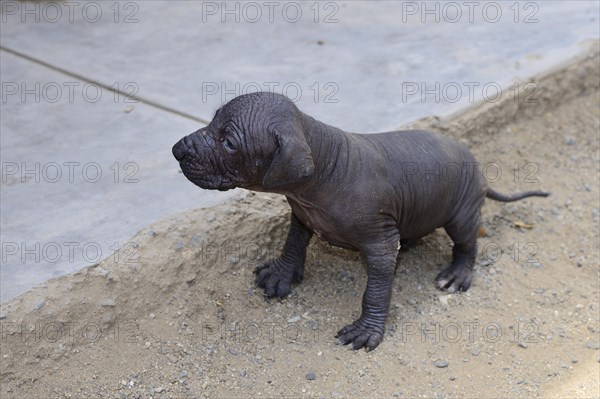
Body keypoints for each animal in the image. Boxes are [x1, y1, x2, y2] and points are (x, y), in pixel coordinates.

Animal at [172, 92, 548, 352]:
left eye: (229, 142)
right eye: (212, 120)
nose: (177, 149)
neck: (325, 168)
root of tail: (478, 167)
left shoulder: (380, 243)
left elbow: (376, 291)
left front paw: (367, 330)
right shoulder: (301, 214)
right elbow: (293, 243)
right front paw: (281, 275)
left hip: (462, 212)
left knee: (467, 243)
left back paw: (457, 274)